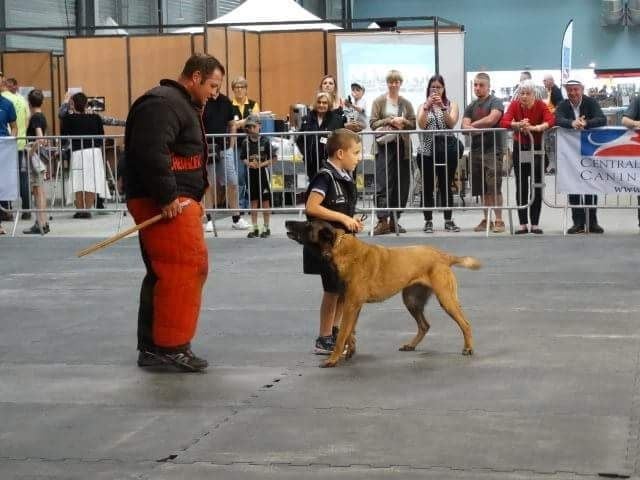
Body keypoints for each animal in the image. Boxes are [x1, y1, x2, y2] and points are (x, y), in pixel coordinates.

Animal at [284, 220, 480, 368]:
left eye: (308, 224)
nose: (287, 222)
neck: (338, 246)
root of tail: (443, 255)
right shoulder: (352, 304)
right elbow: (349, 331)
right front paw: (350, 349)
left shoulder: (351, 304)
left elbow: (341, 335)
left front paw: (333, 359)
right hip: (411, 300)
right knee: (424, 325)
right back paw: (411, 345)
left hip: (446, 299)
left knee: (465, 324)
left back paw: (468, 348)